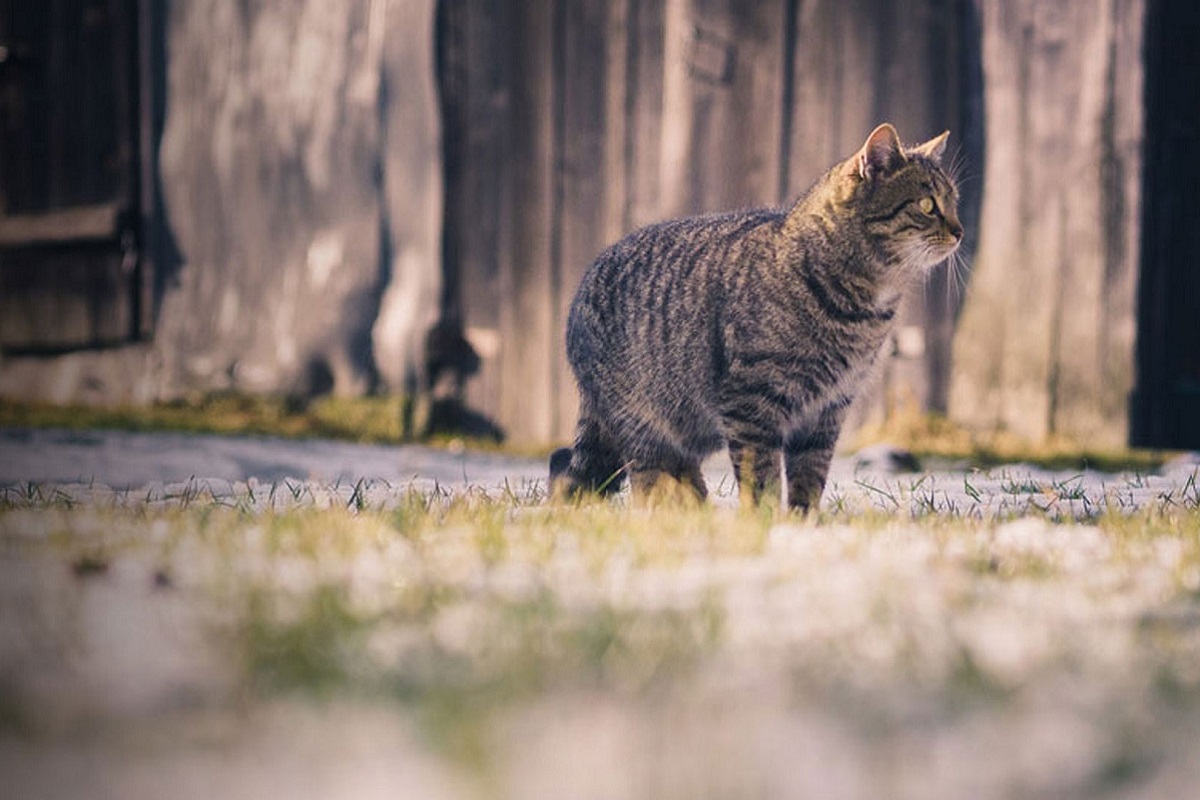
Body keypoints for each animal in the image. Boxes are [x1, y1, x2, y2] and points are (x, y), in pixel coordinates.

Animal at [549, 125, 960, 513]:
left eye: (954, 202)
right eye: (927, 204)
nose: (959, 231)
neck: (863, 309)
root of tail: (582, 286)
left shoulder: (827, 410)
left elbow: (810, 477)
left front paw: (802, 522)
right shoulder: (751, 403)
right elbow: (761, 477)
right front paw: (763, 520)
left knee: (682, 478)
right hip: (642, 421)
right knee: (649, 480)